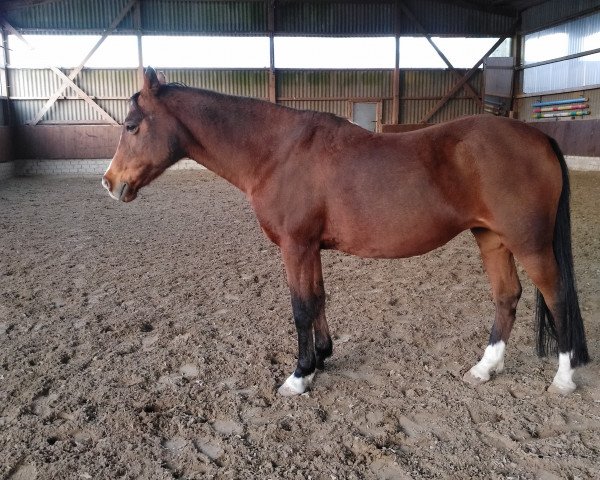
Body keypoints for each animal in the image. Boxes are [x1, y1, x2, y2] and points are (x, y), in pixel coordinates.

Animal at [103, 67, 592, 398]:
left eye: (131, 126)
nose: (110, 183)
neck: (277, 152)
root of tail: (537, 137)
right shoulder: (310, 248)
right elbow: (318, 298)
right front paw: (322, 357)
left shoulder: (296, 246)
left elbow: (301, 307)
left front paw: (299, 376)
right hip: (490, 238)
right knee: (507, 296)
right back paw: (485, 368)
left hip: (529, 243)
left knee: (558, 296)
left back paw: (564, 378)